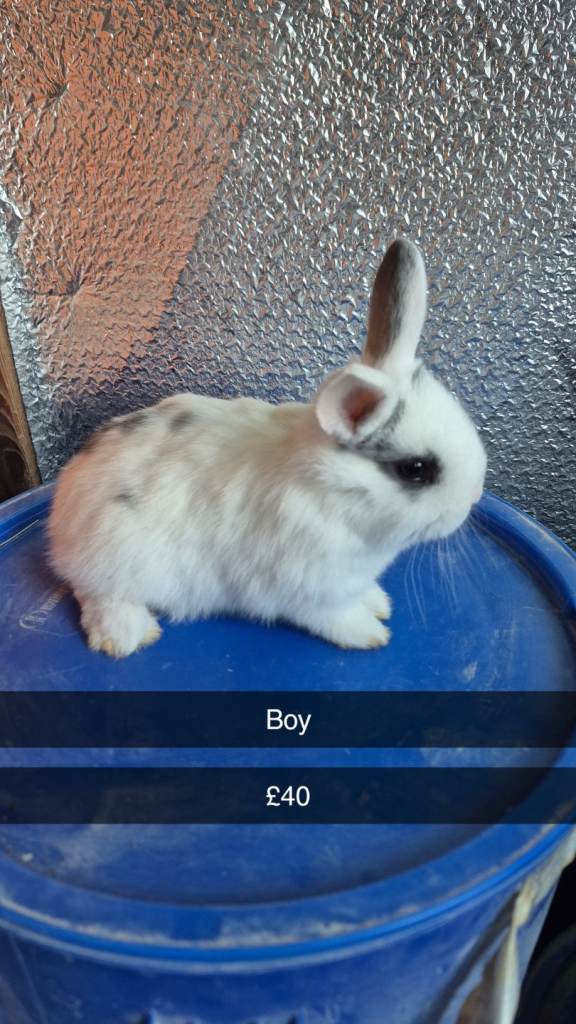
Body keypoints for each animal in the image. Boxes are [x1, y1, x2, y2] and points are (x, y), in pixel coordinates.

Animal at [47, 238, 487, 657]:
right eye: (417, 469)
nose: (470, 502)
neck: (331, 492)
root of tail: (62, 509)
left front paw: (378, 603)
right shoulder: (307, 591)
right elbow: (336, 618)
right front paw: (370, 634)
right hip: (116, 559)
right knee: (98, 596)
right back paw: (128, 636)